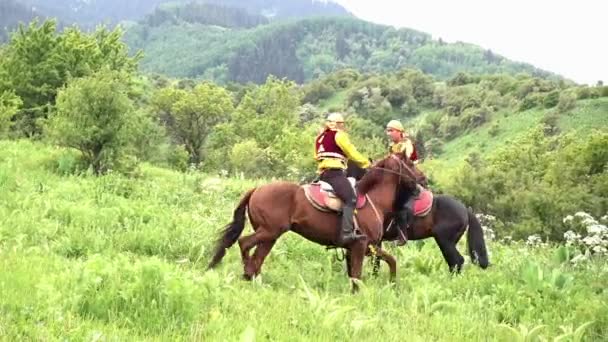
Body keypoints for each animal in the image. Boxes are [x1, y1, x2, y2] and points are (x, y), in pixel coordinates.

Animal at [208, 153, 422, 292]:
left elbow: (386, 262)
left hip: (270, 236)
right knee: (244, 243)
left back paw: (253, 277)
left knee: (257, 256)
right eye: (410, 165)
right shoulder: (363, 245)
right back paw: (247, 273)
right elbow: (359, 274)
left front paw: (392, 284)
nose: (423, 179)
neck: (373, 199)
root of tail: (257, 189)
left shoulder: (362, 247)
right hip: (269, 232)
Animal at [346, 159, 490, 274]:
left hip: (444, 241)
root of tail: (464, 208)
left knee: (456, 261)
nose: (423, 179)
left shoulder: (375, 240)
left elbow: (375, 262)